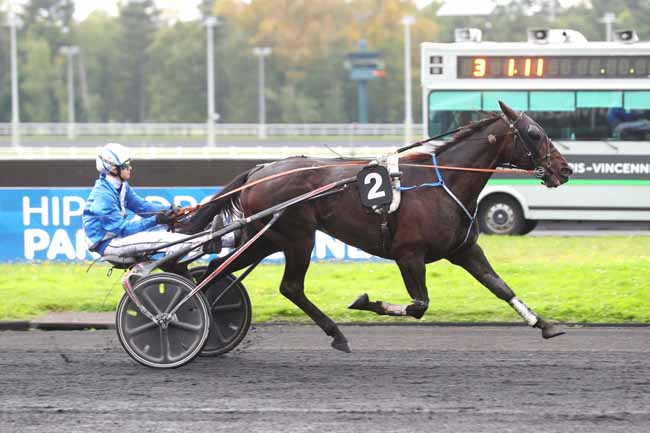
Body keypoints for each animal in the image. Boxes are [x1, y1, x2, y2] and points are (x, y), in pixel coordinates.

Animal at [175, 103, 568, 352]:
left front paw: (545, 324)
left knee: (215, 268)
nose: (564, 170)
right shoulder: (408, 254)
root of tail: (260, 170)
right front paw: (367, 301)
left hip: (267, 238)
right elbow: (418, 305)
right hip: (297, 237)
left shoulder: (464, 250)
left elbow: (500, 287)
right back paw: (335, 333)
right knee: (290, 287)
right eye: (534, 134)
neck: (444, 184)